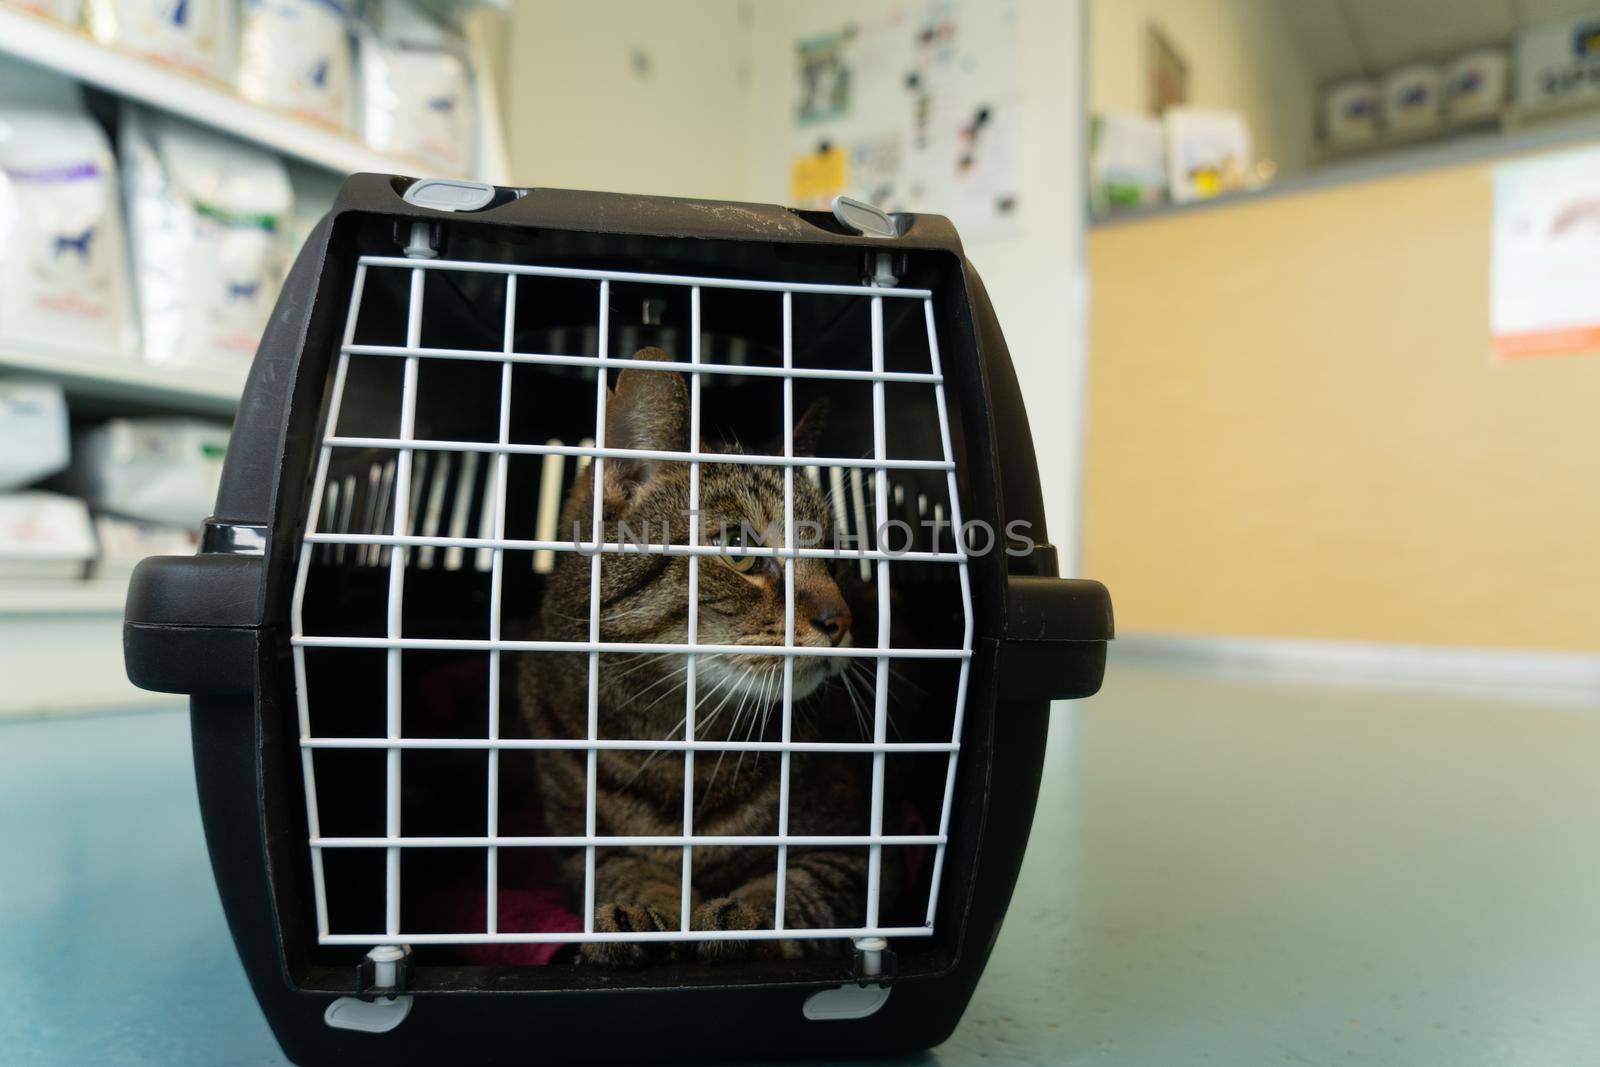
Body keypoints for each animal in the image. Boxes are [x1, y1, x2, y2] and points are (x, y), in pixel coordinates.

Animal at [518, 347, 870, 966]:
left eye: (833, 555)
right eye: (739, 549)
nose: (842, 620)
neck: (678, 746)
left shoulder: (859, 849)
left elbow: (795, 887)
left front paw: (740, 918)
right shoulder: (579, 844)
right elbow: (622, 868)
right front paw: (637, 914)